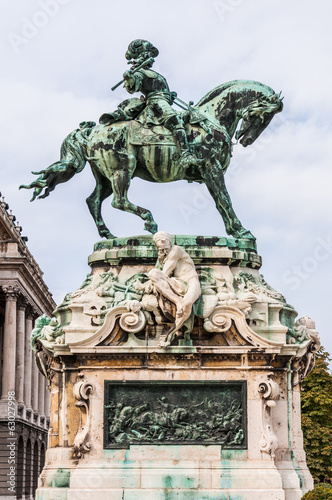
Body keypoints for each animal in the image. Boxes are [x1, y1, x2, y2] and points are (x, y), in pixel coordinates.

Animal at [19, 80, 282, 240]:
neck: (209, 120)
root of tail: (93, 130)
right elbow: (225, 199)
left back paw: (108, 235)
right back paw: (149, 221)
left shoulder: (209, 174)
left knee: (93, 200)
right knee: (119, 201)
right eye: (265, 116)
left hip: (105, 177)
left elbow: (219, 202)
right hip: (122, 170)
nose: (247, 140)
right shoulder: (211, 168)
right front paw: (242, 231)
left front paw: (233, 231)